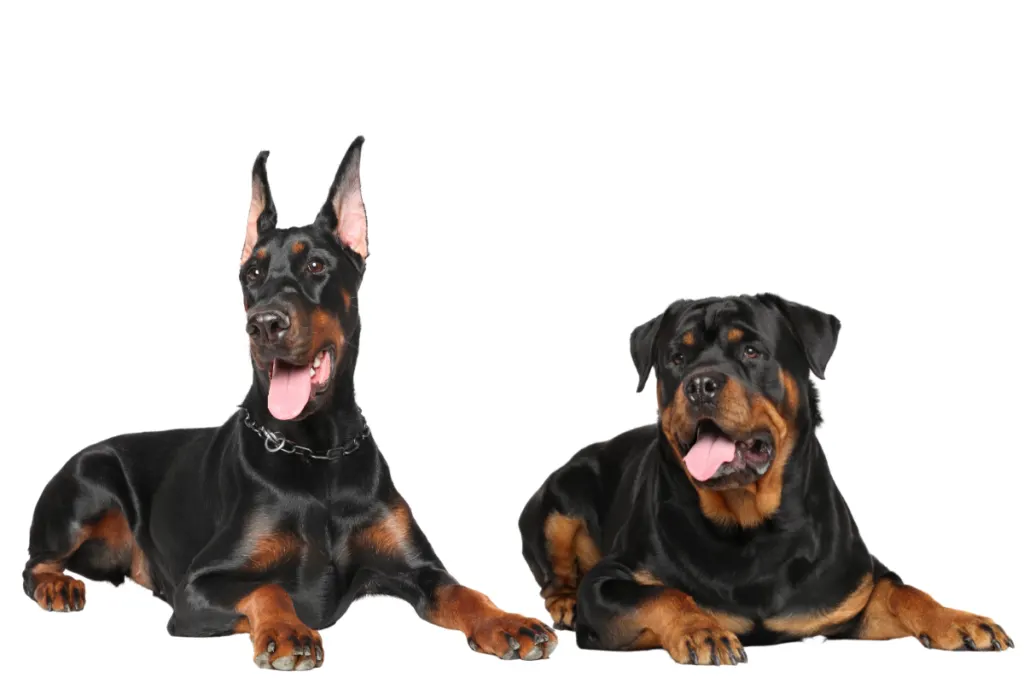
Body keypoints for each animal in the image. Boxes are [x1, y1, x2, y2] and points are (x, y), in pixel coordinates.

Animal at [24, 137, 557, 667]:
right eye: (252, 272)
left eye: (317, 265)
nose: (263, 324)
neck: (318, 451)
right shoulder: (197, 587)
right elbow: (268, 589)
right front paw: (287, 631)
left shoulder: (419, 569)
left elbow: (464, 591)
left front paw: (508, 622)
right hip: (88, 485)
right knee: (34, 564)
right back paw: (58, 586)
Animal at [524, 296, 1011, 663]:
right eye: (676, 358)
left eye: (751, 352)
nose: (700, 383)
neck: (750, 525)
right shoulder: (608, 584)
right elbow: (663, 595)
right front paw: (702, 629)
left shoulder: (856, 590)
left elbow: (905, 592)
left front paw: (958, 620)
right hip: (558, 501)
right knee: (555, 577)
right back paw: (565, 604)